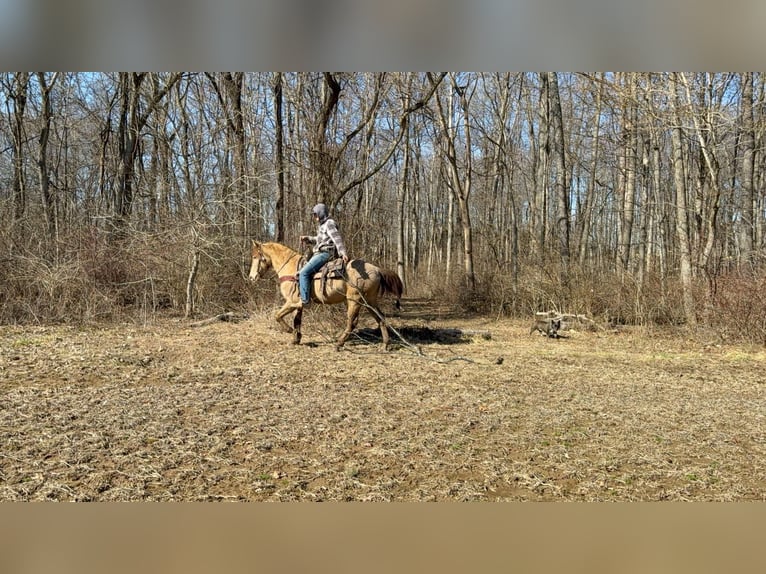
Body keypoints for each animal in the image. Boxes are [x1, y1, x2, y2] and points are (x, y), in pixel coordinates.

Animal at [249, 242, 404, 352]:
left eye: (255, 257)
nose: (251, 277)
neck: (291, 268)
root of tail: (376, 269)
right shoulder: (298, 305)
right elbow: (296, 321)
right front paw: (296, 339)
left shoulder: (292, 302)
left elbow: (277, 315)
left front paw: (290, 331)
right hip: (370, 301)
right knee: (381, 318)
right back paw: (385, 345)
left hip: (354, 300)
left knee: (352, 322)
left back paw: (339, 344)